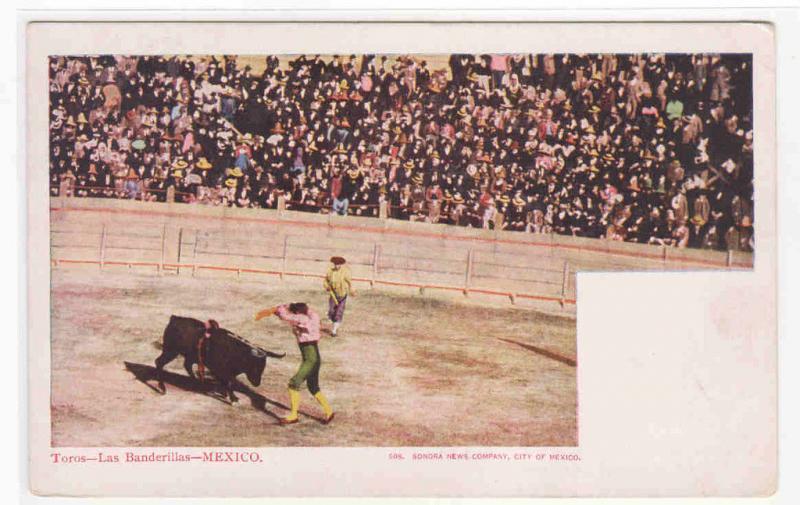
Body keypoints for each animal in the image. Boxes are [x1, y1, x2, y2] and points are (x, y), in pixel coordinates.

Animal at [156, 316, 284, 402]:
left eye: (263, 367)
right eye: (255, 366)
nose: (257, 383)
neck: (234, 351)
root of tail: (174, 319)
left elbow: (227, 382)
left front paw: (226, 394)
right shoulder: (219, 370)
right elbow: (228, 383)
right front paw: (233, 398)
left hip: (189, 356)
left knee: (187, 365)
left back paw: (196, 382)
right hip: (170, 351)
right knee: (159, 362)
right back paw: (162, 388)